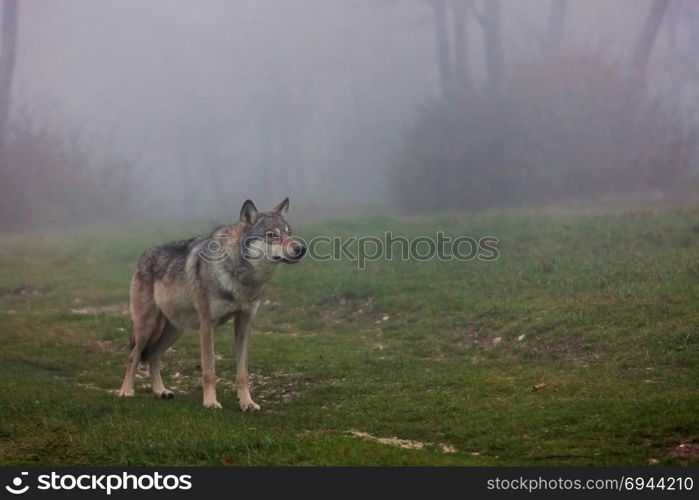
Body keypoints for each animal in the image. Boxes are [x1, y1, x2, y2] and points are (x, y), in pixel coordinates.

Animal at [117, 198, 304, 410]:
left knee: (153, 356)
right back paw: (126, 390)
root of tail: (144, 255)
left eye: (289, 233)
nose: (301, 249)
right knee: (134, 355)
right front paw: (210, 402)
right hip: (146, 326)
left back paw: (161, 391)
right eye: (272, 235)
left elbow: (242, 373)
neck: (240, 278)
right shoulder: (207, 325)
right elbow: (209, 370)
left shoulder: (244, 324)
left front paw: (247, 403)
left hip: (175, 330)